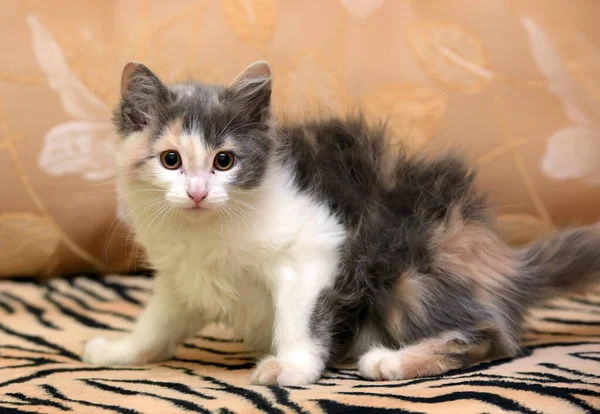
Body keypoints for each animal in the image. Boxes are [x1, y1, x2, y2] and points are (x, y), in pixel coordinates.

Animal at [83, 60, 600, 384]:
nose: (197, 192)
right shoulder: (184, 278)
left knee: (491, 335)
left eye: (224, 161)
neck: (205, 232)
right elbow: (157, 324)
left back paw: (394, 363)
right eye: (170, 160)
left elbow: (300, 319)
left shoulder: (316, 248)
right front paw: (120, 351)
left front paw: (291, 367)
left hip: (407, 269)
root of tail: (503, 261)